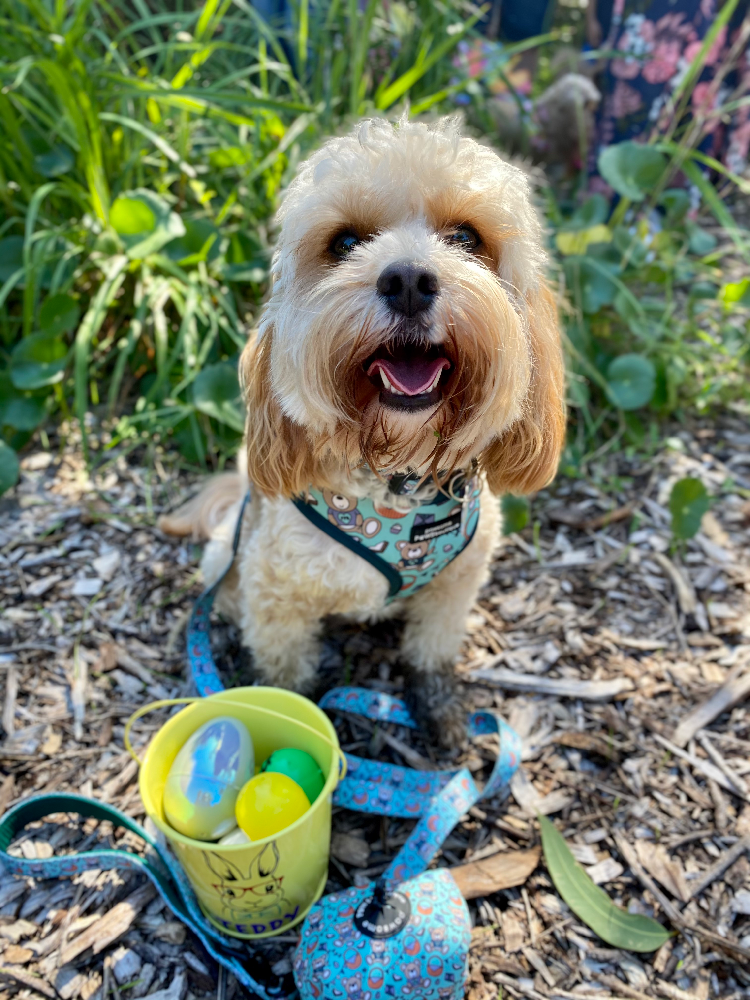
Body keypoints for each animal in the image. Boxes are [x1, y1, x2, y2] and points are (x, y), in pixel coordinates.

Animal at [163, 115, 564, 744]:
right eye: (346, 244)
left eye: (466, 238)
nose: (408, 280)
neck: (395, 476)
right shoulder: (275, 594)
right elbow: (285, 671)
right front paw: (294, 718)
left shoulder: (455, 586)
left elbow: (432, 648)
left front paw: (438, 704)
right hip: (227, 552)